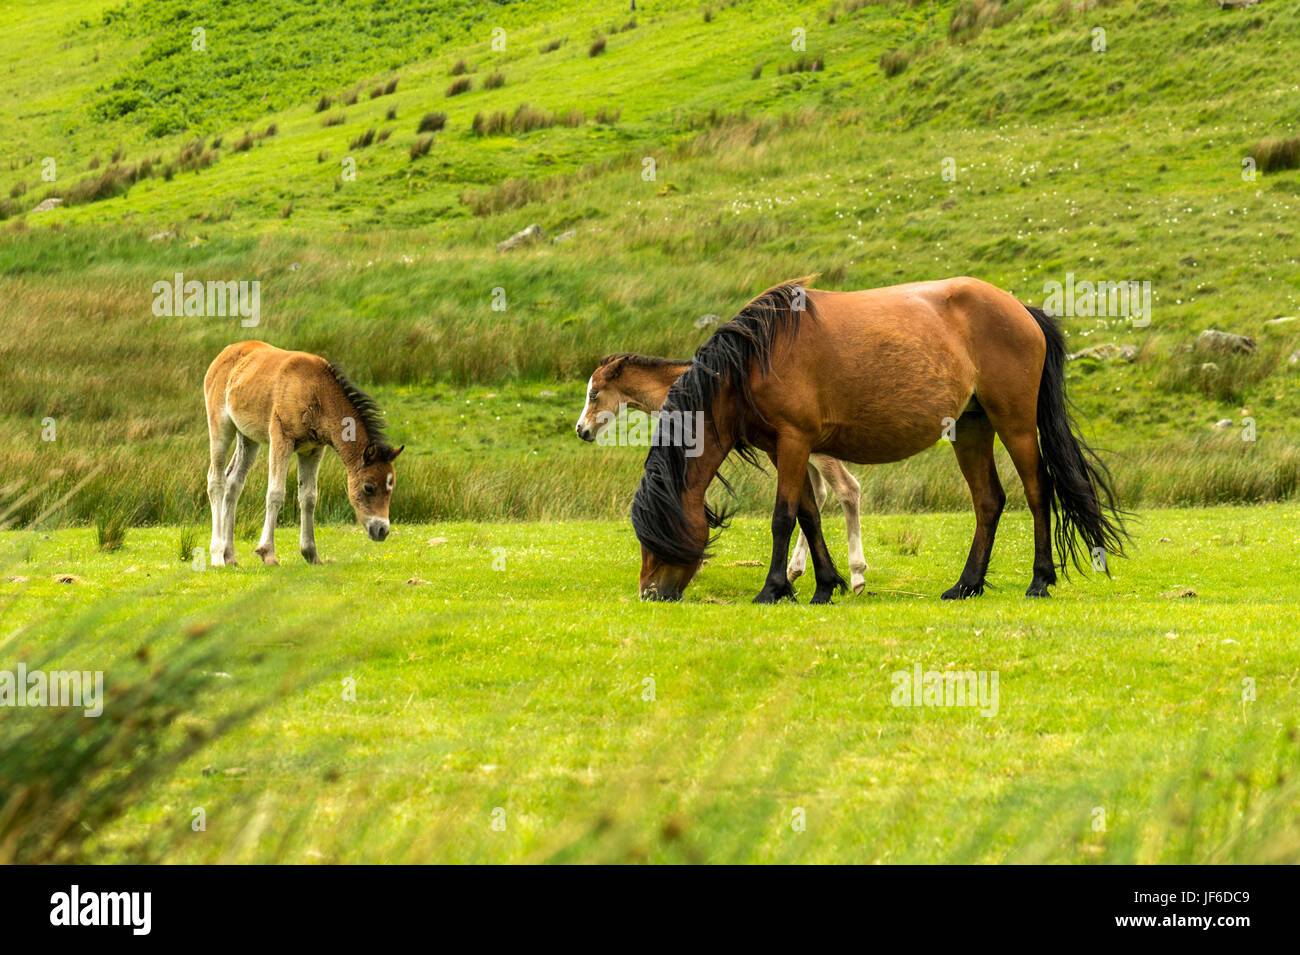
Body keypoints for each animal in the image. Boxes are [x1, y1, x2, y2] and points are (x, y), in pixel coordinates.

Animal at [202, 343, 400, 566]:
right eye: (368, 487)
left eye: (391, 488)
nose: (382, 530)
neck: (316, 391)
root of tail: (225, 352)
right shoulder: (281, 438)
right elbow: (276, 493)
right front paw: (267, 553)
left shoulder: (313, 450)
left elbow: (309, 497)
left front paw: (311, 553)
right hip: (221, 426)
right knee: (216, 480)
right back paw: (217, 556)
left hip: (248, 438)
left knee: (233, 483)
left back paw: (230, 556)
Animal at [574, 356, 868, 595]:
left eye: (593, 393)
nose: (581, 429)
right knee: (818, 494)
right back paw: (795, 570)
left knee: (847, 489)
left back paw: (856, 575)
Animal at [631, 278, 1128, 605]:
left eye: (655, 533)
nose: (650, 593)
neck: (753, 360)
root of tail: (1021, 309)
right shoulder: (785, 449)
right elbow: (809, 516)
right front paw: (825, 585)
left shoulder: (793, 442)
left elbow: (783, 517)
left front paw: (774, 589)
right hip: (971, 427)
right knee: (989, 501)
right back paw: (966, 585)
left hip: (1016, 423)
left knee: (1037, 492)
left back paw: (1040, 581)